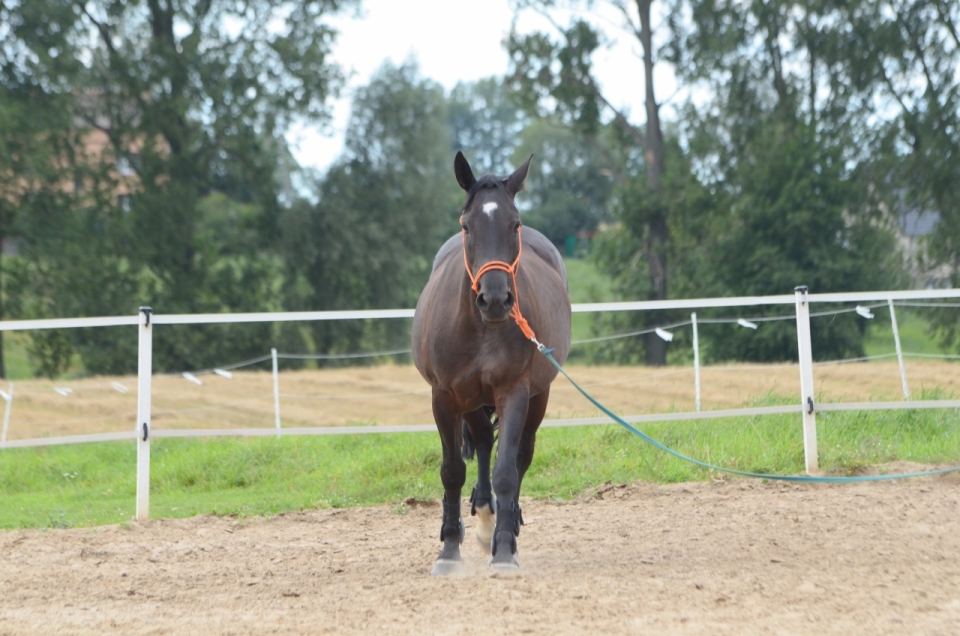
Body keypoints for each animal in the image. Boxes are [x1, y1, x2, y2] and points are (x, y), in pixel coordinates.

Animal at [410, 152, 568, 572]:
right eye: (467, 226)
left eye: (515, 224)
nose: (495, 299)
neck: (481, 328)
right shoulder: (445, 396)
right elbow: (452, 471)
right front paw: (449, 549)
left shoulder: (514, 391)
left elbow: (507, 471)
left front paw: (505, 549)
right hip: (470, 399)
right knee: (481, 441)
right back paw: (481, 519)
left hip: (537, 397)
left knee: (521, 455)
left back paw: (503, 526)